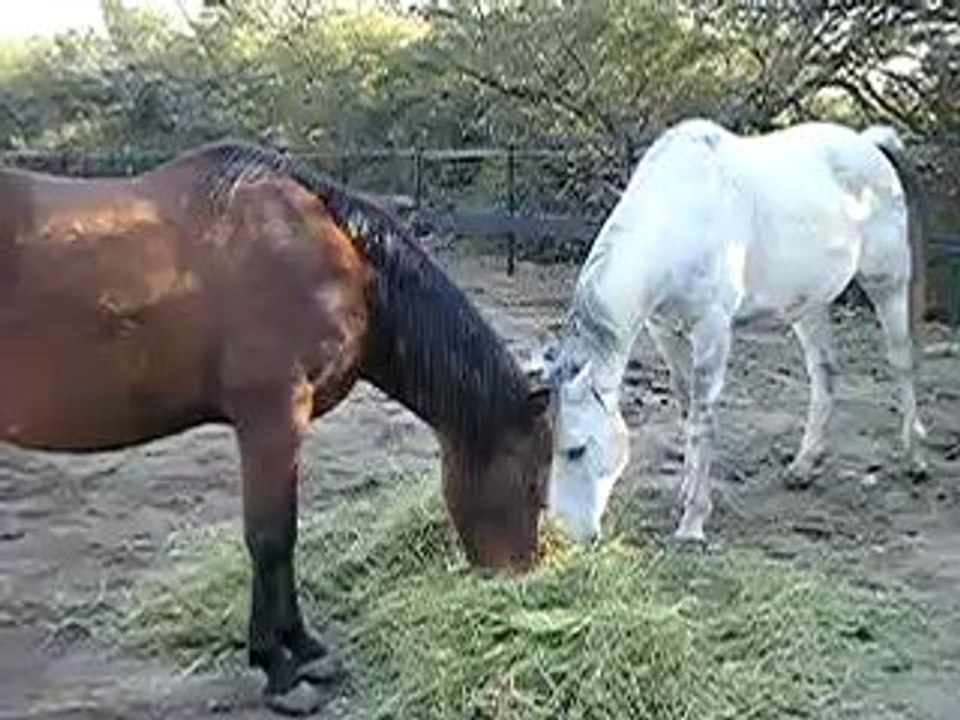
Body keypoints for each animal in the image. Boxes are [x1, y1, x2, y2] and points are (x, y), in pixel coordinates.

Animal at [0, 141, 552, 712]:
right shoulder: (272, 416)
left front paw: (303, 647)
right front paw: (280, 669)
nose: (520, 575)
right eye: (534, 481)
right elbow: (271, 538)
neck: (334, 258)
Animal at [537, 118, 927, 545]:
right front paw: (685, 495)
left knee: (902, 362)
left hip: (888, 284)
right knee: (825, 372)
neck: (679, 216)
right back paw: (803, 467)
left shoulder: (712, 329)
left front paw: (693, 521)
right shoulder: (664, 331)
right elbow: (686, 406)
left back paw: (914, 458)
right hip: (809, 305)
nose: (569, 536)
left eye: (576, 449)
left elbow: (702, 418)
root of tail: (868, 144)